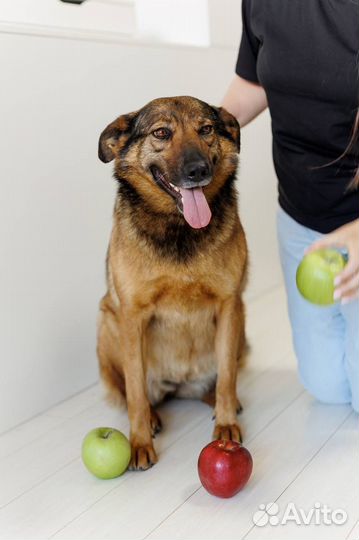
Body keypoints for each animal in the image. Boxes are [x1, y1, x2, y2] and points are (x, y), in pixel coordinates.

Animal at [97, 96, 249, 468]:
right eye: (161, 133)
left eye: (206, 129)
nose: (198, 171)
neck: (180, 227)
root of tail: (178, 385)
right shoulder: (132, 315)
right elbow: (135, 391)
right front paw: (139, 442)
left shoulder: (230, 305)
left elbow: (227, 378)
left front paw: (226, 425)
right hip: (107, 321)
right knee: (130, 389)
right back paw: (151, 417)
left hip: (241, 327)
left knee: (221, 379)